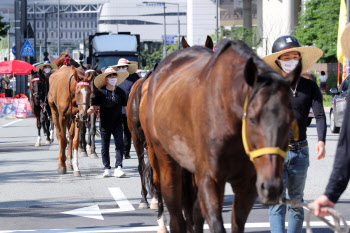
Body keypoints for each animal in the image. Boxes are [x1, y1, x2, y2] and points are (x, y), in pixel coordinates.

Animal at [144, 39, 302, 232]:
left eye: (290, 120)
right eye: (251, 119)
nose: (271, 187)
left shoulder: (247, 184)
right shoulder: (210, 179)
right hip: (165, 158)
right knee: (176, 215)